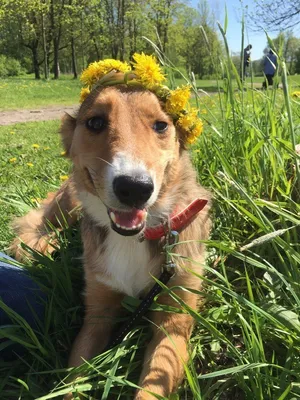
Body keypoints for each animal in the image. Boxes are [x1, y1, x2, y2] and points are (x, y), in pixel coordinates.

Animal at [11, 79, 211, 398]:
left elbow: (153, 381)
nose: (134, 188)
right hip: (71, 200)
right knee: (40, 221)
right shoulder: (97, 313)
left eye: (160, 125)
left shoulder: (174, 317)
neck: (134, 239)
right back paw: (46, 243)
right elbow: (71, 382)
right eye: (95, 122)